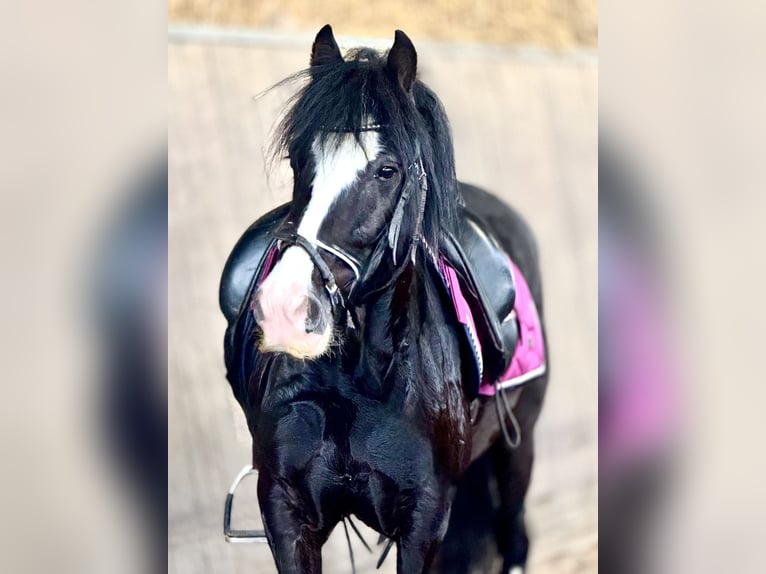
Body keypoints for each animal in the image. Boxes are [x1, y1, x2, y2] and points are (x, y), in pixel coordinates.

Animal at [220, 26, 549, 573]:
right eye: (299, 160)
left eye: (387, 170)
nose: (286, 309)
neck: (356, 387)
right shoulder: (286, 512)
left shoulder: (424, 523)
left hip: (516, 449)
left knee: (514, 535)